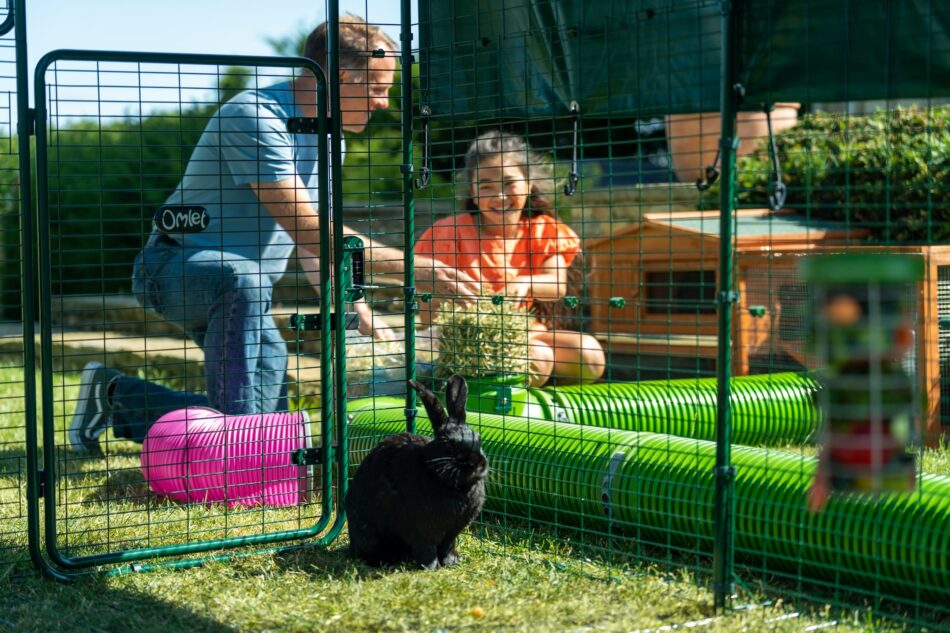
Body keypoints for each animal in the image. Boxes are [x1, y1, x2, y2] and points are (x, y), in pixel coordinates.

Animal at [344, 372, 490, 572]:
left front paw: (452, 562)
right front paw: (431, 567)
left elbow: (447, 547)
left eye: (479, 438)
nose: (477, 464)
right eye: (448, 443)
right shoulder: (420, 532)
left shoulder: (451, 533)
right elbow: (427, 549)